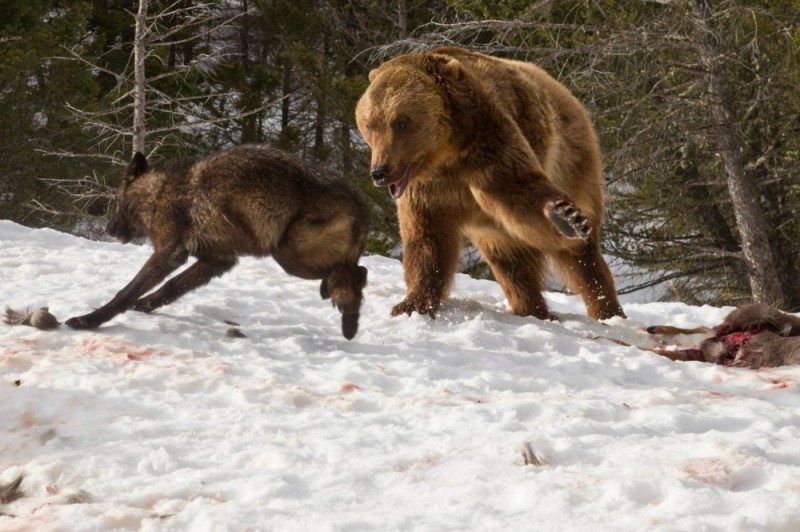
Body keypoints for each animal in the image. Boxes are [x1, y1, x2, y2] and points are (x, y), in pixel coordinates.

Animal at [67, 143, 370, 338]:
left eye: (118, 202)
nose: (108, 229)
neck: (159, 193)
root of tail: (361, 205)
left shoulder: (169, 253)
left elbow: (126, 291)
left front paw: (88, 320)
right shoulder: (217, 260)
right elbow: (172, 287)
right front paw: (143, 305)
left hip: (290, 256)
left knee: (353, 271)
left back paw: (347, 317)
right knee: (355, 271)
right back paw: (345, 314)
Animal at [354, 46, 624, 320]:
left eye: (400, 122)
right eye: (370, 124)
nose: (380, 171)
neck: (444, 156)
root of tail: (562, 89)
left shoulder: (488, 146)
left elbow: (520, 188)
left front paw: (564, 215)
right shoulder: (425, 191)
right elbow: (427, 240)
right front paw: (412, 303)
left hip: (572, 161)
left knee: (580, 254)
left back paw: (606, 309)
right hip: (491, 229)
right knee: (511, 260)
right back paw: (532, 308)